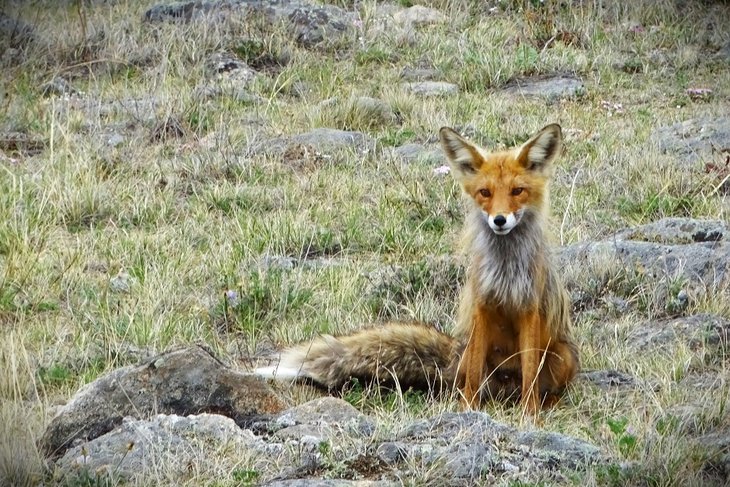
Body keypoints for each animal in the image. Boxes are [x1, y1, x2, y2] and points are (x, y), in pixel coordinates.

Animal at [256, 124, 576, 414]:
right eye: (485, 192)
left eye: (517, 191)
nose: (499, 220)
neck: (506, 267)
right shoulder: (481, 307)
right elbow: (473, 379)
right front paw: (468, 412)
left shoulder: (529, 307)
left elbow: (531, 373)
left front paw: (530, 416)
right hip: (470, 353)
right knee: (467, 382)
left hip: (563, 358)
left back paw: (545, 403)